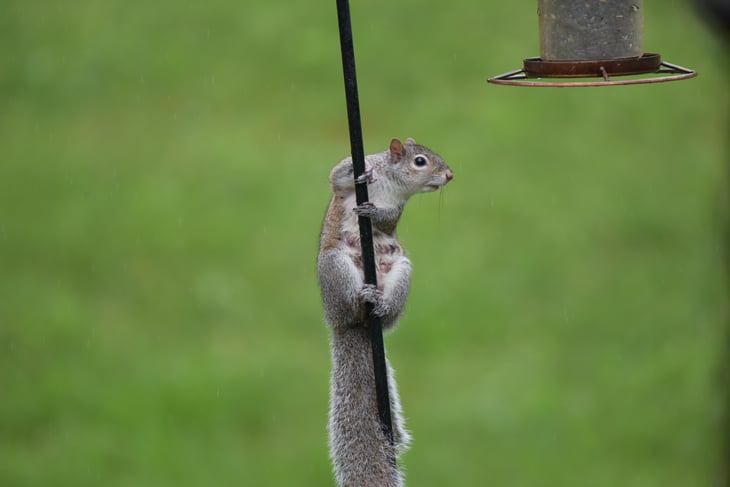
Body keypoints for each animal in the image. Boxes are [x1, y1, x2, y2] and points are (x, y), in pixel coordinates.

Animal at [317, 137, 453, 487]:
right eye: (420, 161)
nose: (449, 175)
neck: (393, 182)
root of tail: (345, 323)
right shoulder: (342, 186)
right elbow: (336, 176)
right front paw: (361, 169)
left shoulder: (397, 211)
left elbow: (388, 218)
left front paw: (375, 211)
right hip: (336, 268)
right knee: (350, 304)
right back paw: (361, 296)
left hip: (402, 270)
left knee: (387, 312)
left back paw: (380, 303)